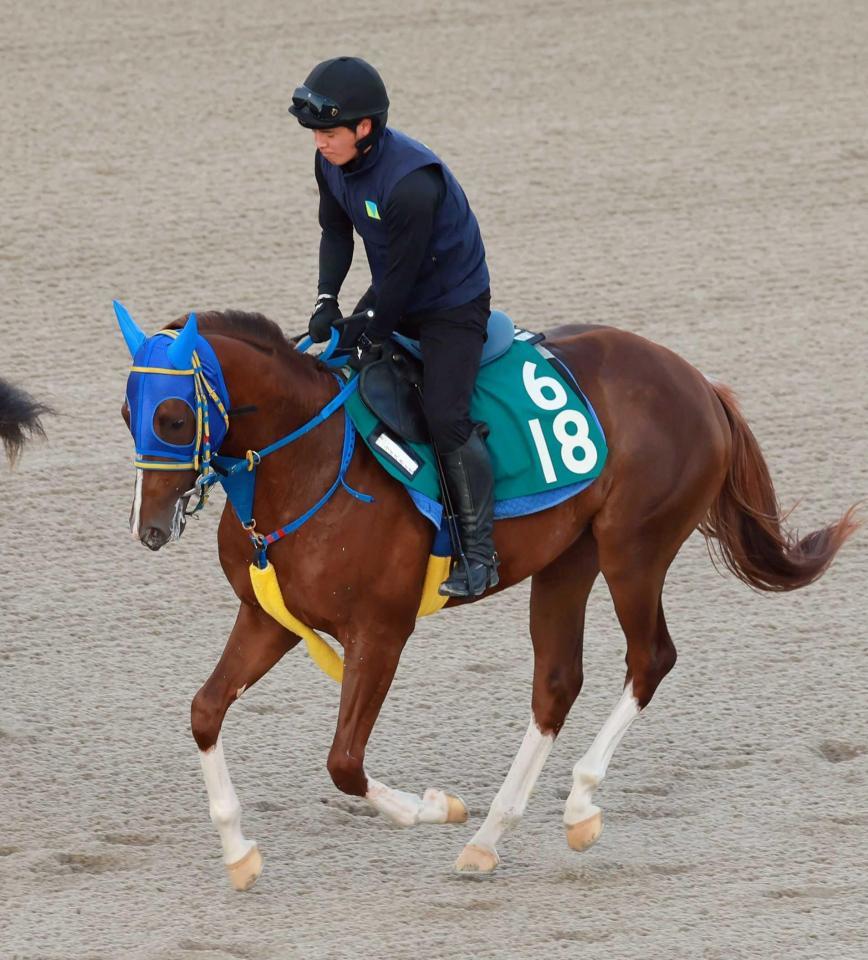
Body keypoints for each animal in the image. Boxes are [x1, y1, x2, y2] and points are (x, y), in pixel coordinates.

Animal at [118, 312, 856, 888]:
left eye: (173, 416)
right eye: (127, 414)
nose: (149, 528)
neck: (312, 465)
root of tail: (699, 383)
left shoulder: (381, 631)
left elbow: (344, 763)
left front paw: (438, 806)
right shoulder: (269, 619)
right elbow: (205, 711)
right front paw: (239, 852)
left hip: (634, 548)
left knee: (650, 659)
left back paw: (578, 806)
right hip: (569, 559)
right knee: (557, 683)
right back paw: (489, 840)